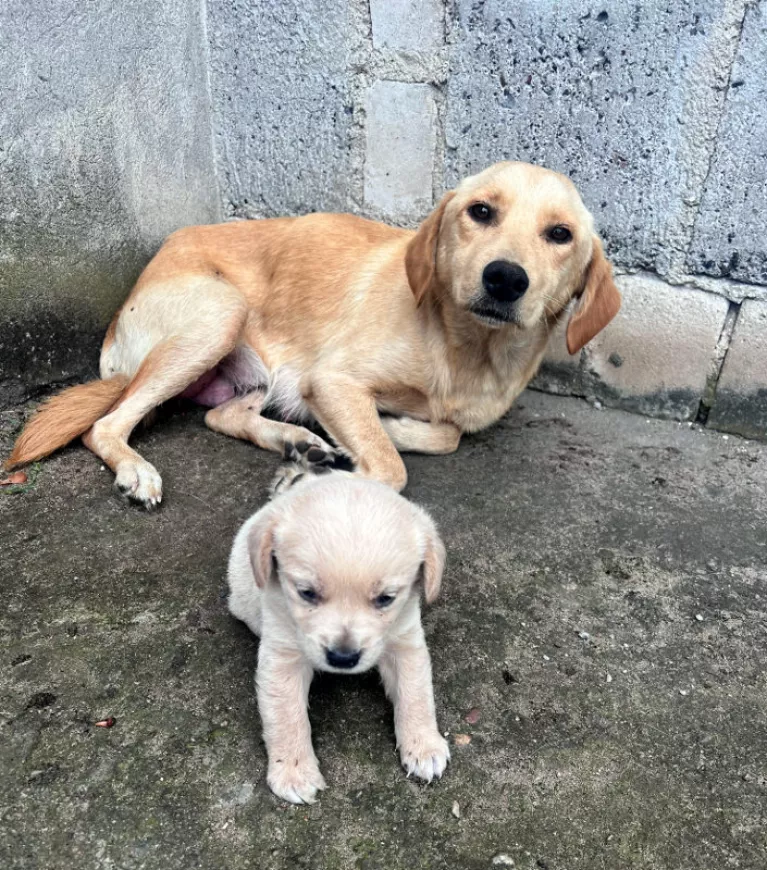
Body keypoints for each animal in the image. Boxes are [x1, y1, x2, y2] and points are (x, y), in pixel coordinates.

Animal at [225, 474, 450, 808]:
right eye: (306, 593)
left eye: (386, 598)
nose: (343, 658)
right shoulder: (283, 655)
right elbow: (286, 715)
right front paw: (293, 771)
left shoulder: (405, 641)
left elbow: (416, 694)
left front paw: (423, 745)